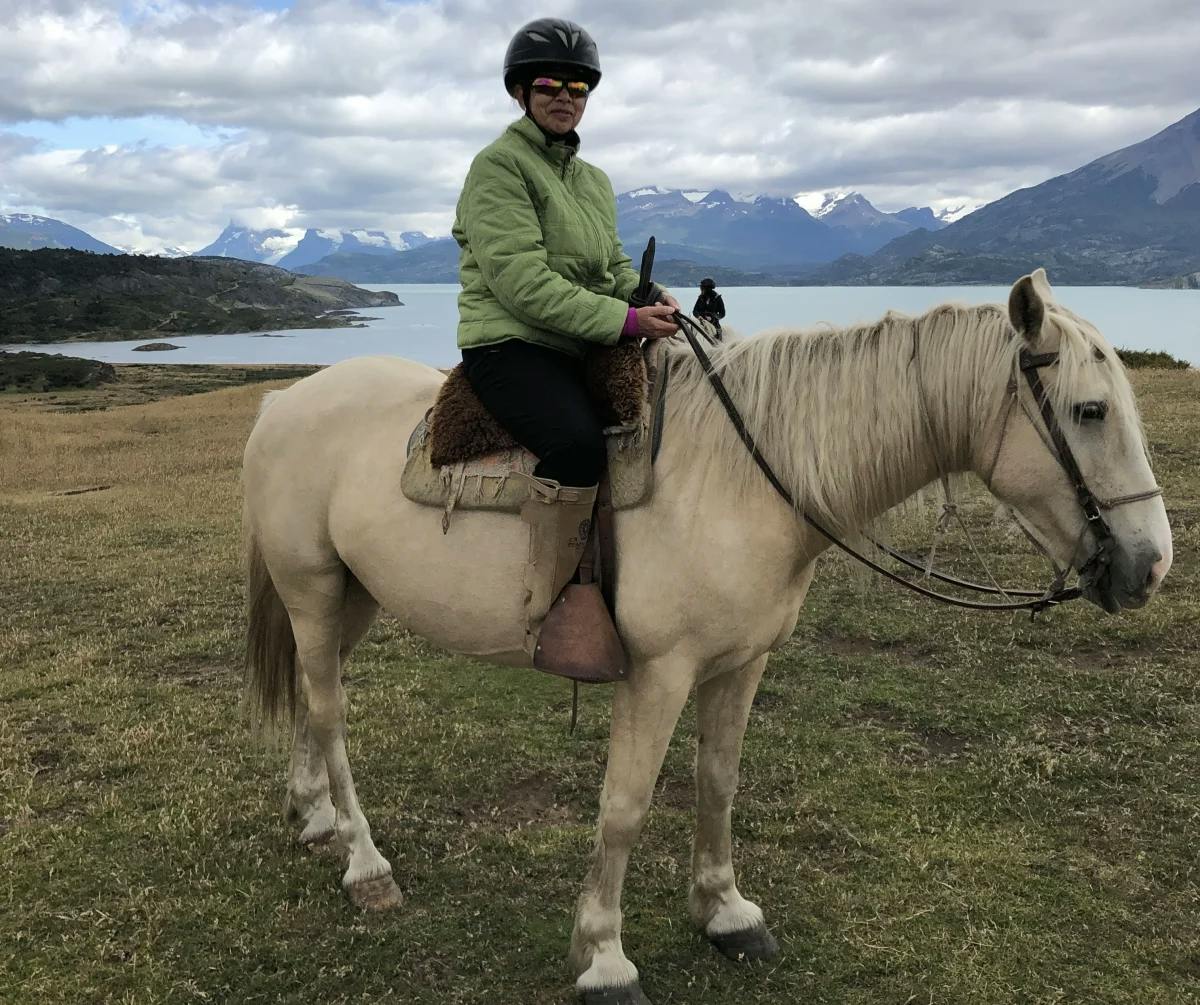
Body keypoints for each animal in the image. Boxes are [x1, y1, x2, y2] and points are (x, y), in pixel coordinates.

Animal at [241, 271, 1171, 1002]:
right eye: (1090, 410)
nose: (1151, 564)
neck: (742, 477)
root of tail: (285, 400)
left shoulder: (741, 664)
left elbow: (718, 783)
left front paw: (726, 912)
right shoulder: (658, 674)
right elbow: (623, 807)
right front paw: (604, 957)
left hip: (351, 599)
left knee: (312, 702)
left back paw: (315, 815)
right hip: (314, 591)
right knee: (330, 713)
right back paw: (365, 863)